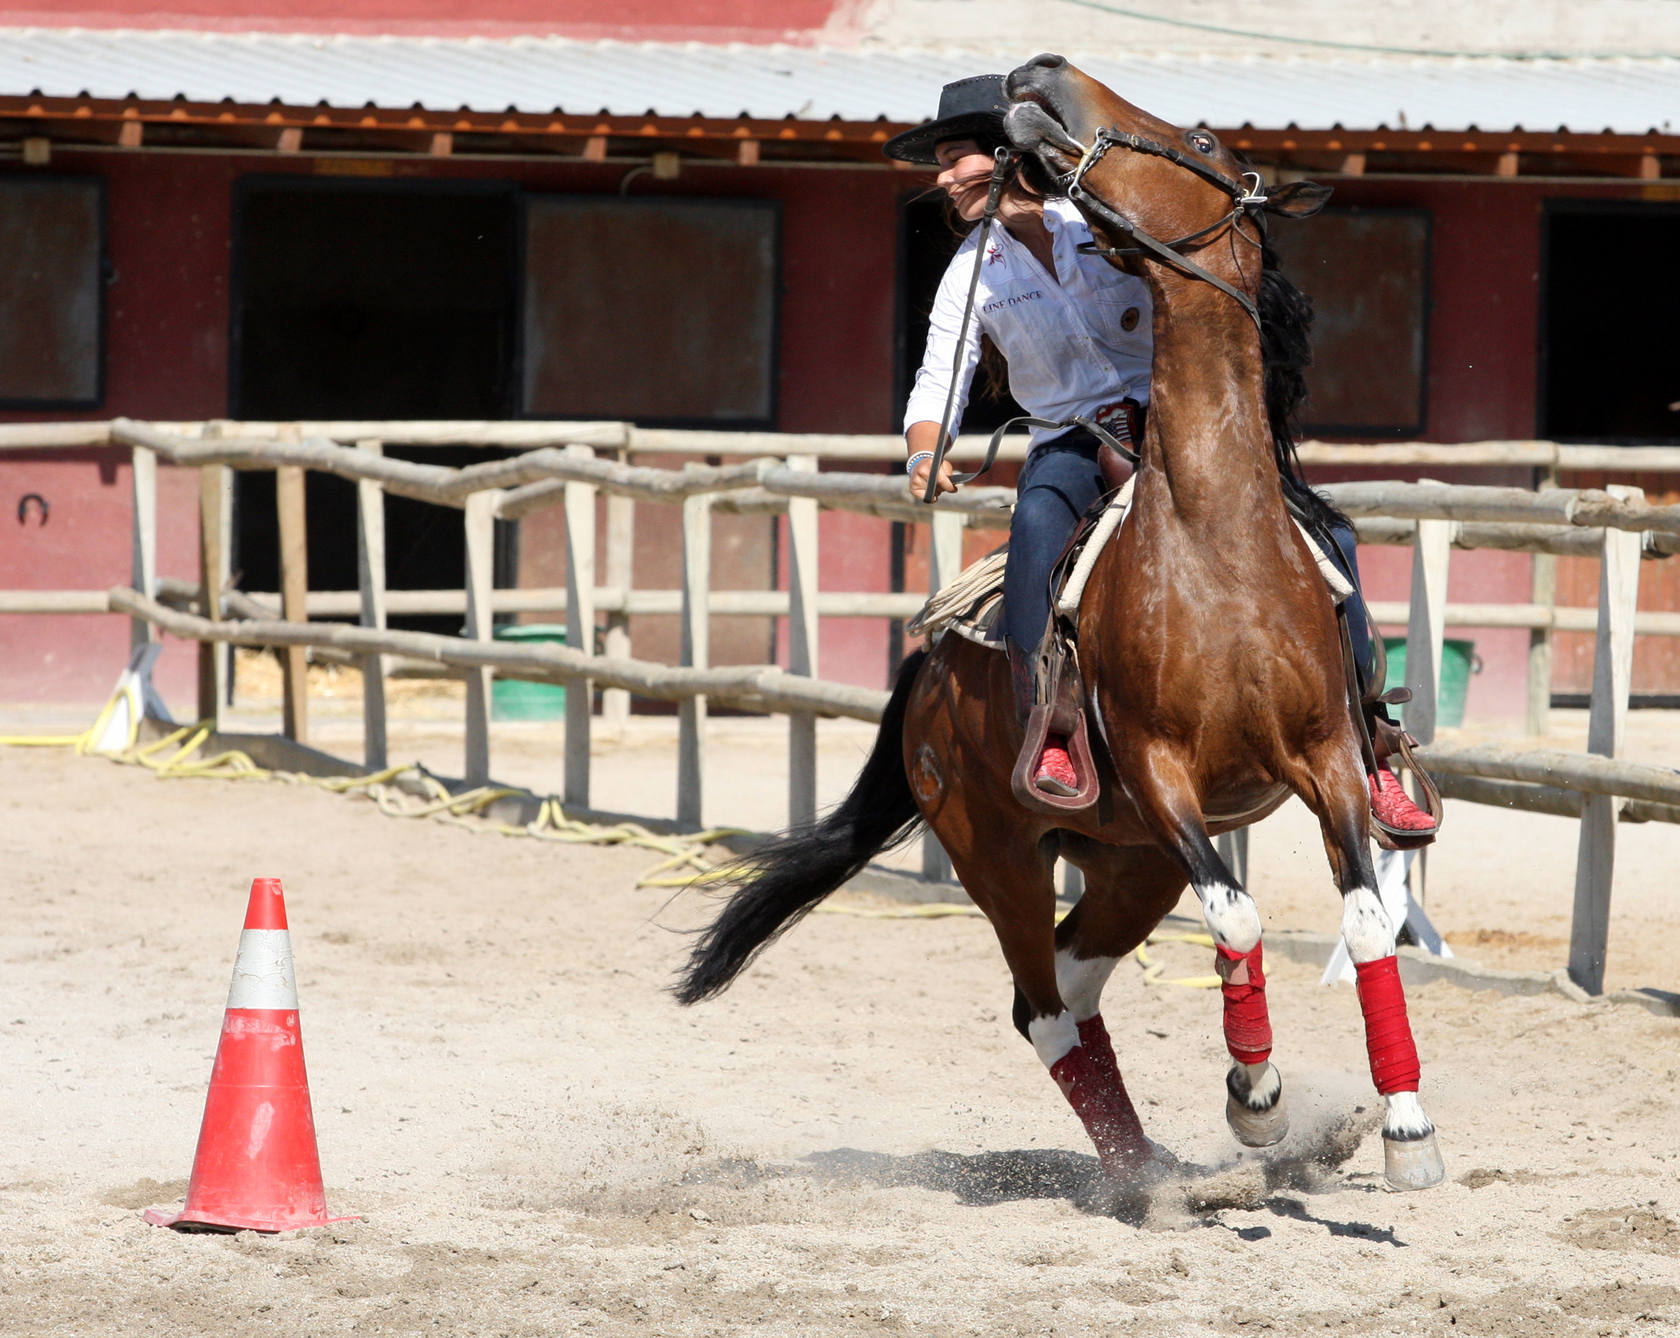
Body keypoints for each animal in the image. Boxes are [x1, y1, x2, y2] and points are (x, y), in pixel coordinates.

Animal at [678, 57, 1444, 1196]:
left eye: (1205, 143)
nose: (1041, 74)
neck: (1219, 549)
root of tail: (927, 680)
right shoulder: (1163, 774)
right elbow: (1240, 915)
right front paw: (1255, 1096)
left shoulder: (1327, 760)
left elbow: (1363, 919)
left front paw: (1404, 1126)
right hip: (1004, 856)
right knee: (1041, 1007)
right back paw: (1152, 1182)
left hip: (1131, 861)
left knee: (1076, 990)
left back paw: (1154, 1167)